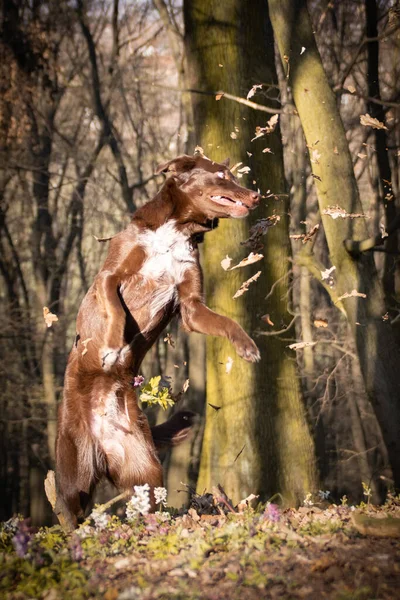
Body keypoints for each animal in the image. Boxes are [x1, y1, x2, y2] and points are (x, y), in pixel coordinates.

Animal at [54, 154, 260, 528]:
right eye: (222, 175)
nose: (255, 196)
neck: (177, 230)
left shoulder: (191, 305)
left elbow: (225, 322)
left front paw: (246, 346)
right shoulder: (110, 277)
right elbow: (115, 309)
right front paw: (112, 348)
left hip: (144, 467)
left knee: (146, 502)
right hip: (73, 475)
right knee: (68, 509)